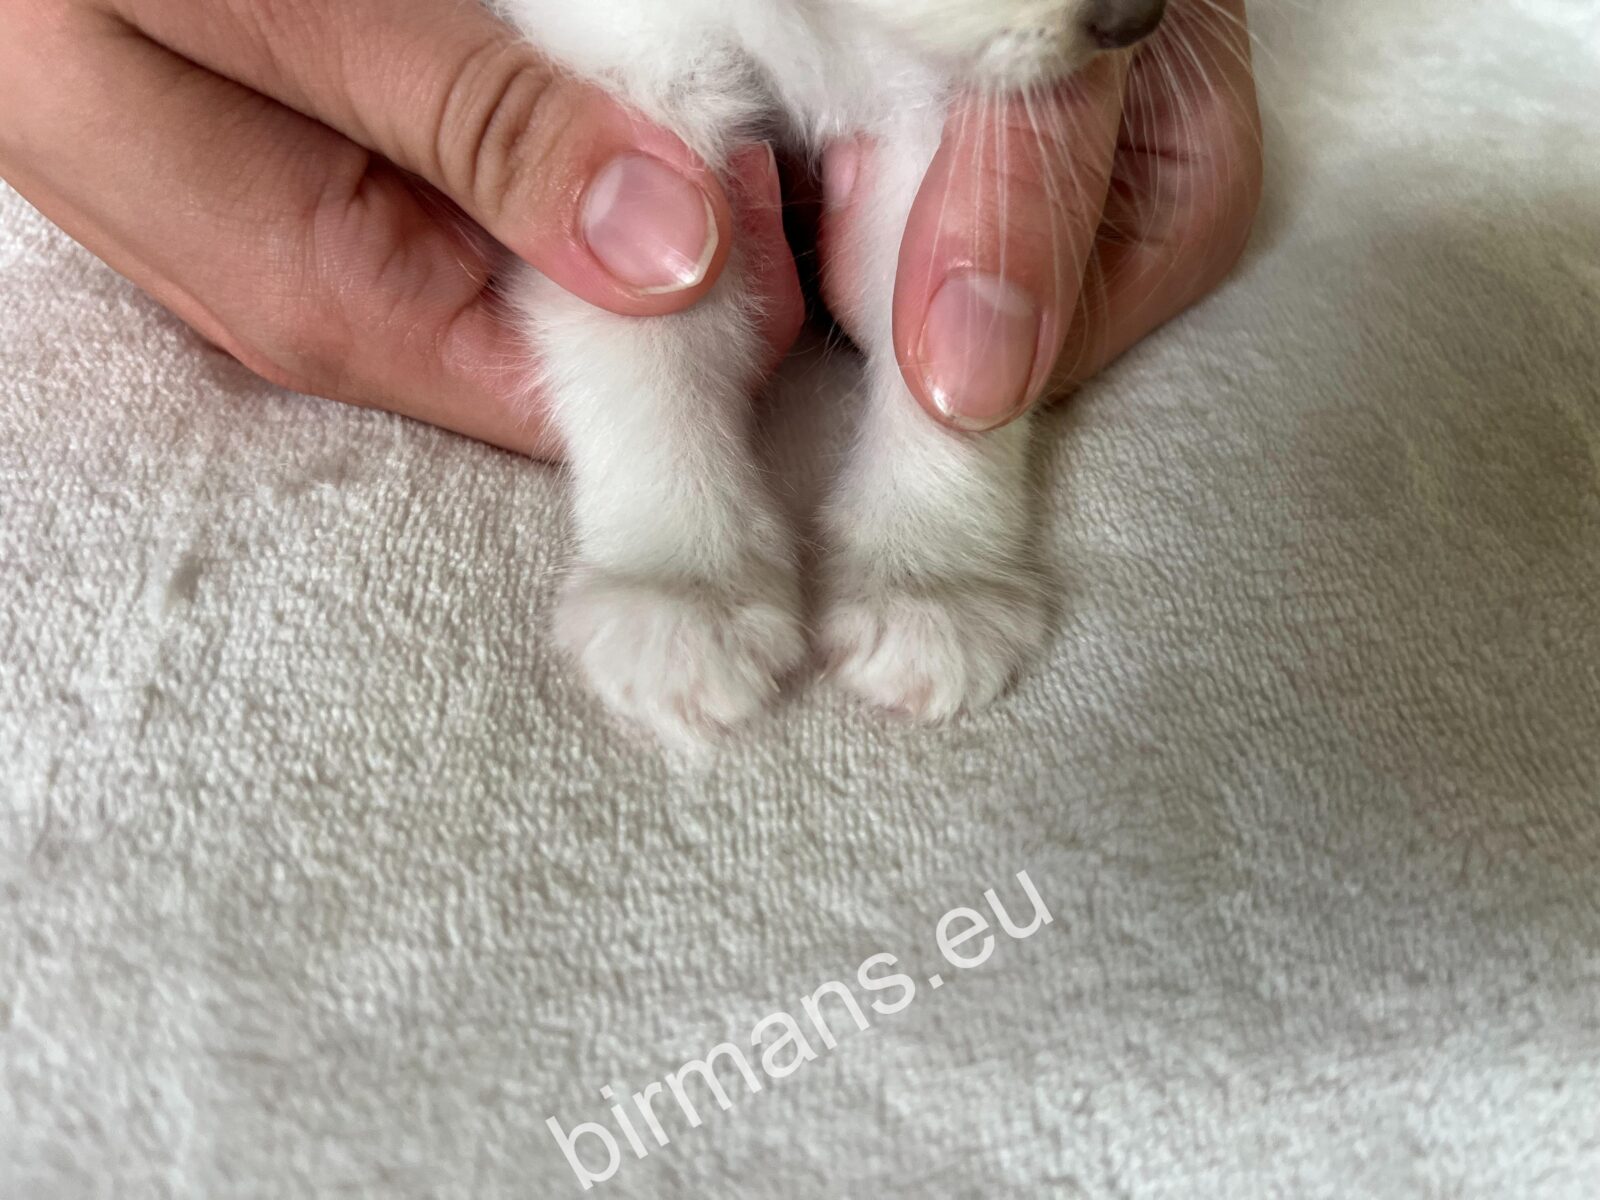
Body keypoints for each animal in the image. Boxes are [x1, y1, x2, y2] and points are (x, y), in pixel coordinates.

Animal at [494, 0, 1168, 749]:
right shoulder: (631, 96)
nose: (1139, 21)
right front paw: (683, 585)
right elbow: (646, 333)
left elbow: (929, 323)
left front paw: (927, 576)